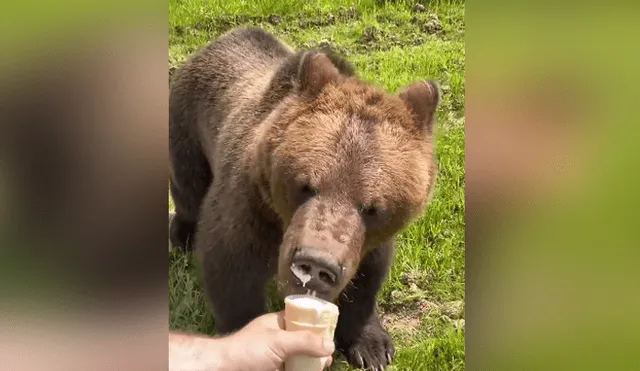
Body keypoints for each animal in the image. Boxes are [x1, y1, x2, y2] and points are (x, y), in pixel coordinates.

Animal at [169, 27, 440, 370]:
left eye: (373, 208)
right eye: (305, 186)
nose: (316, 263)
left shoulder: (368, 240)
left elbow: (368, 276)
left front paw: (372, 348)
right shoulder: (250, 206)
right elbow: (232, 271)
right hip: (187, 127)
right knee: (188, 188)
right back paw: (182, 235)